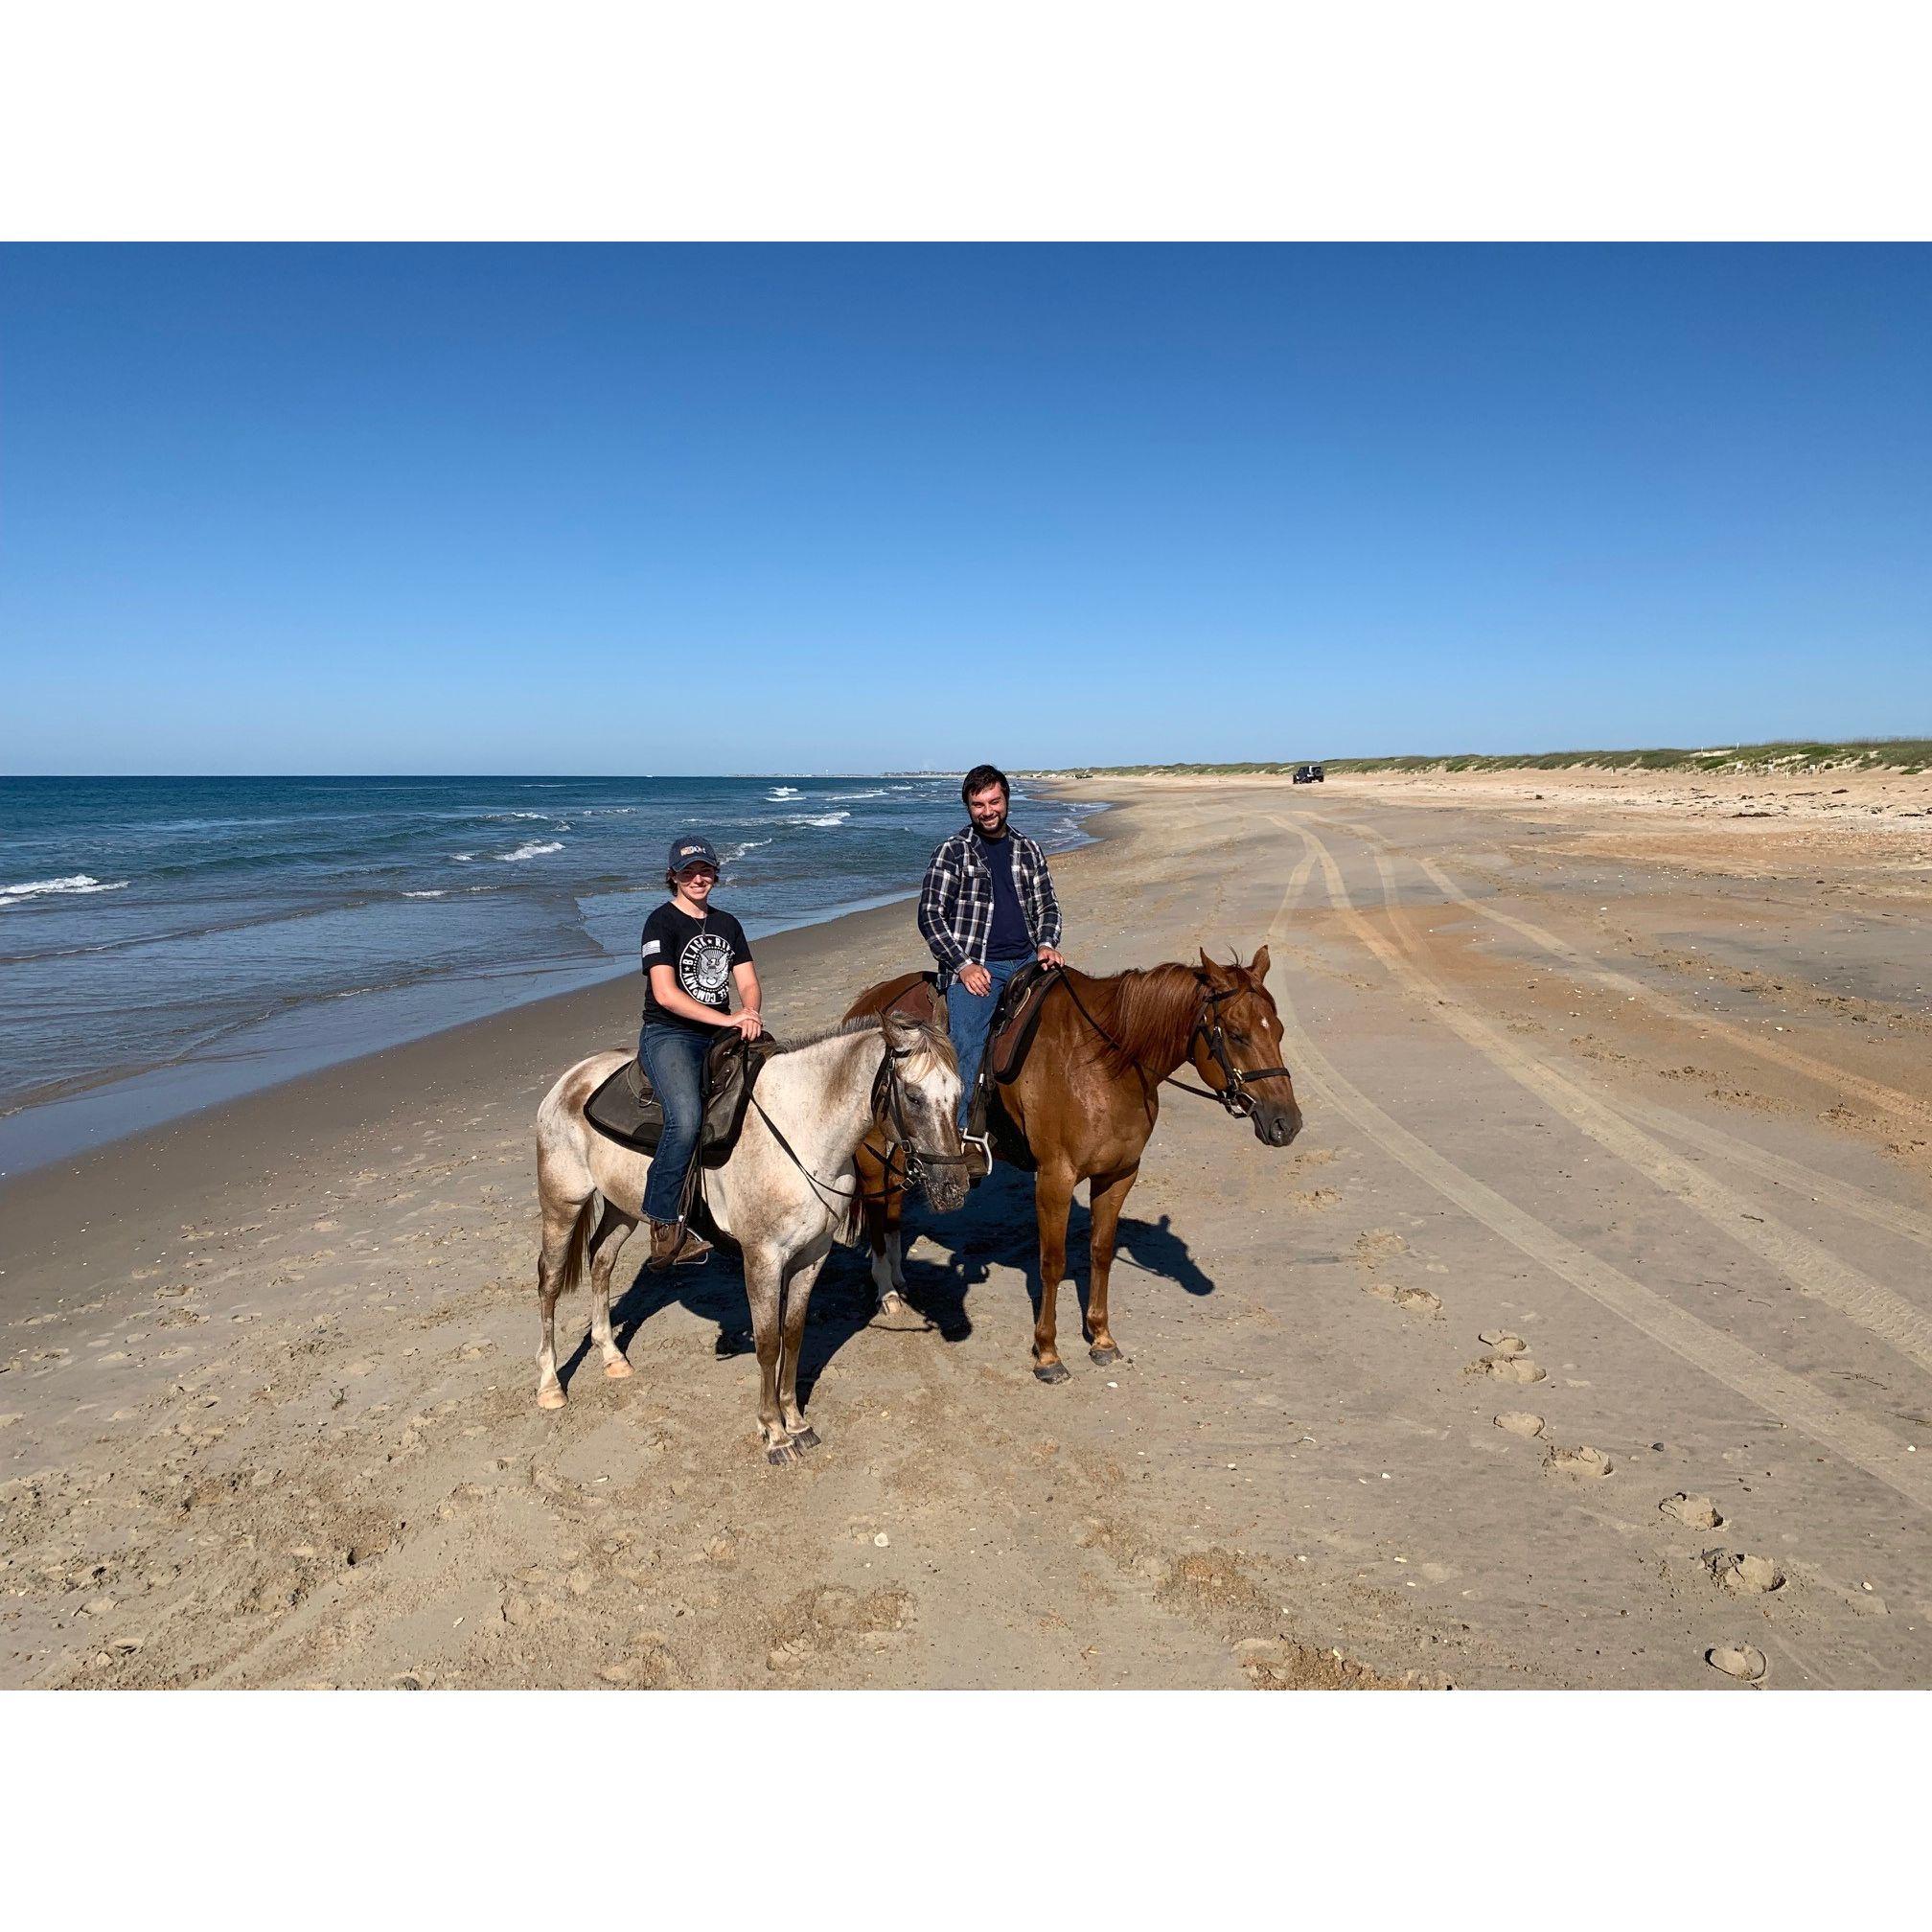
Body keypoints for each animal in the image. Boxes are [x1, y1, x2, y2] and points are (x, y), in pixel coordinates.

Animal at [533, 1012, 961, 1460]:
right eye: (913, 1096)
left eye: (960, 1093)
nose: (955, 1188)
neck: (801, 1129)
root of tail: (571, 1079)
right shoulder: (762, 1258)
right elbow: (768, 1342)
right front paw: (774, 1432)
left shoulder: (813, 1254)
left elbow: (794, 1334)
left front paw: (797, 1422)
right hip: (563, 1201)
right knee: (550, 1280)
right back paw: (550, 1385)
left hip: (622, 1208)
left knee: (601, 1260)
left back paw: (611, 1355)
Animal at [841, 946, 1298, 1375]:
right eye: (1236, 1035)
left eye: (1278, 1030)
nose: (1286, 1124)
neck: (1102, 1063)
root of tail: (869, 1003)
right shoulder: (1054, 1180)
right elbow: (1053, 1262)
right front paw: (1047, 1353)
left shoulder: (1119, 1175)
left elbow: (1100, 1252)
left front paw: (1101, 1338)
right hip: (873, 1152)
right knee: (878, 1214)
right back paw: (887, 1291)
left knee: (894, 1206)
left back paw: (899, 1279)